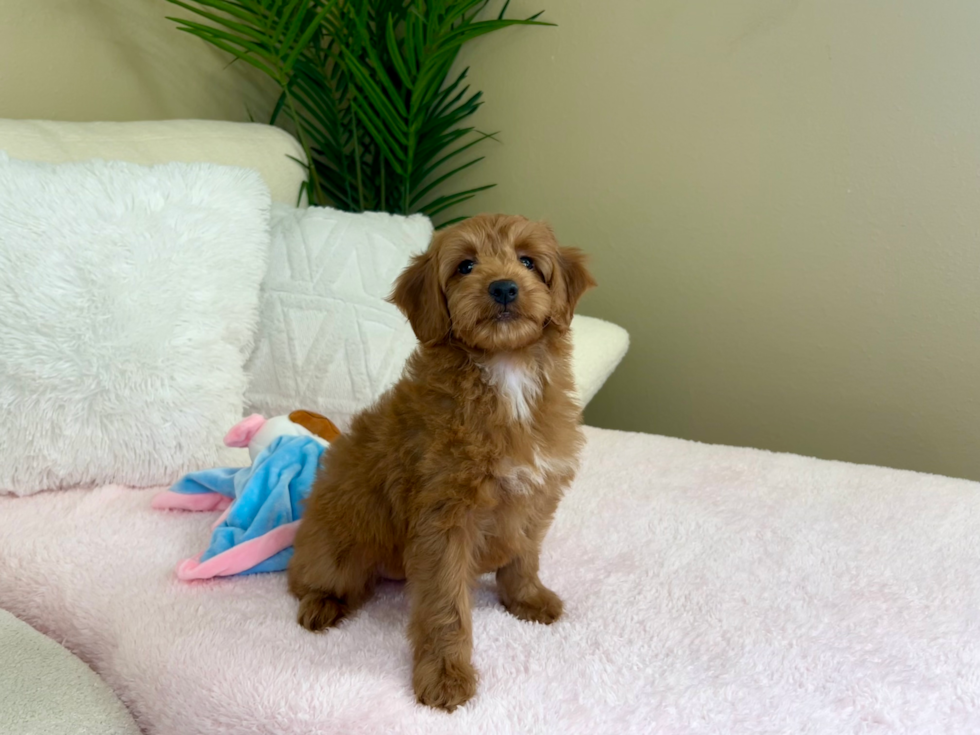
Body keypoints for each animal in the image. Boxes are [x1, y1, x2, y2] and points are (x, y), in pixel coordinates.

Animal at [290, 214, 596, 712]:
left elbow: (524, 556)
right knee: (307, 578)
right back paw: (321, 605)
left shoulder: (535, 494)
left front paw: (526, 600)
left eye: (528, 261)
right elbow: (446, 607)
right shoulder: (443, 521)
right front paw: (445, 676)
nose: (504, 288)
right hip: (335, 549)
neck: (505, 372)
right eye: (465, 266)